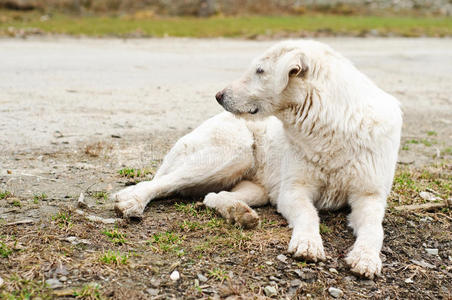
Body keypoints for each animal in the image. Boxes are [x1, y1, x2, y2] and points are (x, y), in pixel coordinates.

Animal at [114, 39, 402, 278]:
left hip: (256, 187)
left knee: (213, 196)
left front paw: (366, 258)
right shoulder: (293, 191)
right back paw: (132, 201)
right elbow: (309, 215)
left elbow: (375, 229)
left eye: (260, 71)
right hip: (232, 151)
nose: (218, 95)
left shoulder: (369, 197)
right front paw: (308, 243)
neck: (332, 122)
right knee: (160, 183)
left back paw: (238, 213)